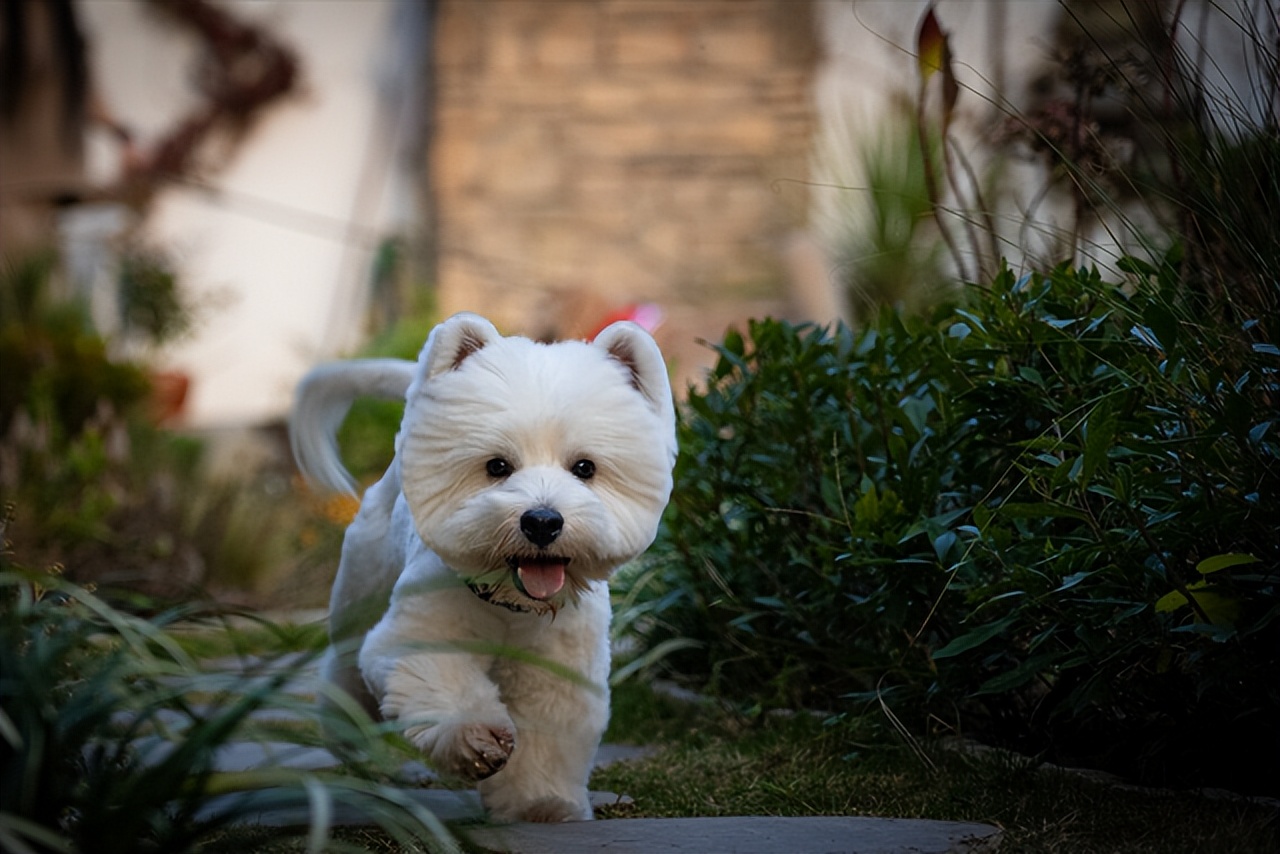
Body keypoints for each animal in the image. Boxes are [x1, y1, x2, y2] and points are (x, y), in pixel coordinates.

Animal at [286, 312, 675, 819]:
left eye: (584, 468)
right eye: (497, 466)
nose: (542, 521)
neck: (512, 608)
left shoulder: (557, 675)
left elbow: (546, 741)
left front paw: (539, 804)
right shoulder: (422, 637)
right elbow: (443, 686)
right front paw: (476, 740)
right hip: (361, 592)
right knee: (346, 667)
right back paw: (350, 737)